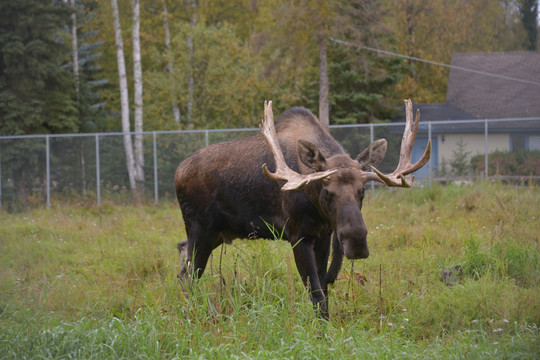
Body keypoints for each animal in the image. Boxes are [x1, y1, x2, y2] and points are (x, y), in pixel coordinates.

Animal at [176, 98, 430, 318]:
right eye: (326, 191)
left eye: (362, 190)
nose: (356, 241)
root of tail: (178, 172)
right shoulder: (298, 235)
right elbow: (316, 294)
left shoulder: (324, 235)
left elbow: (324, 288)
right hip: (201, 230)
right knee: (190, 275)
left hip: (217, 234)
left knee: (181, 257)